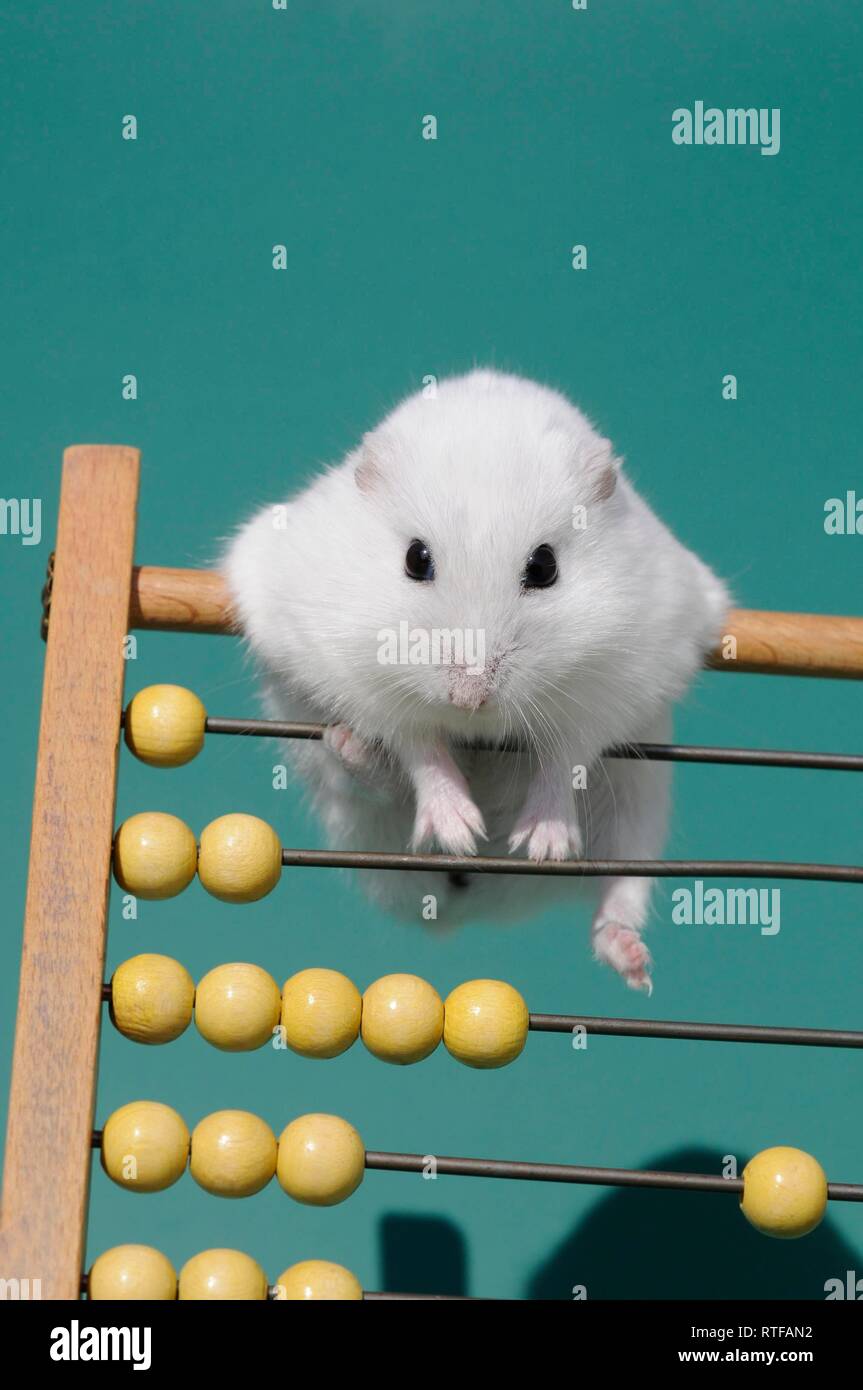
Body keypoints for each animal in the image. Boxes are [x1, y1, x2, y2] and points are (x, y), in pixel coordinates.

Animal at [225, 370, 729, 991]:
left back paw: (630, 961)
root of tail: (474, 906)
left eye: (544, 567)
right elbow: (420, 747)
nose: (469, 697)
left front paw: (543, 843)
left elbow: (564, 756)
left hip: (640, 808)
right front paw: (459, 830)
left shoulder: (613, 687)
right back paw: (366, 762)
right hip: (328, 774)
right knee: (367, 778)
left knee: (622, 889)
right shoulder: (357, 677)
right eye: (416, 559)